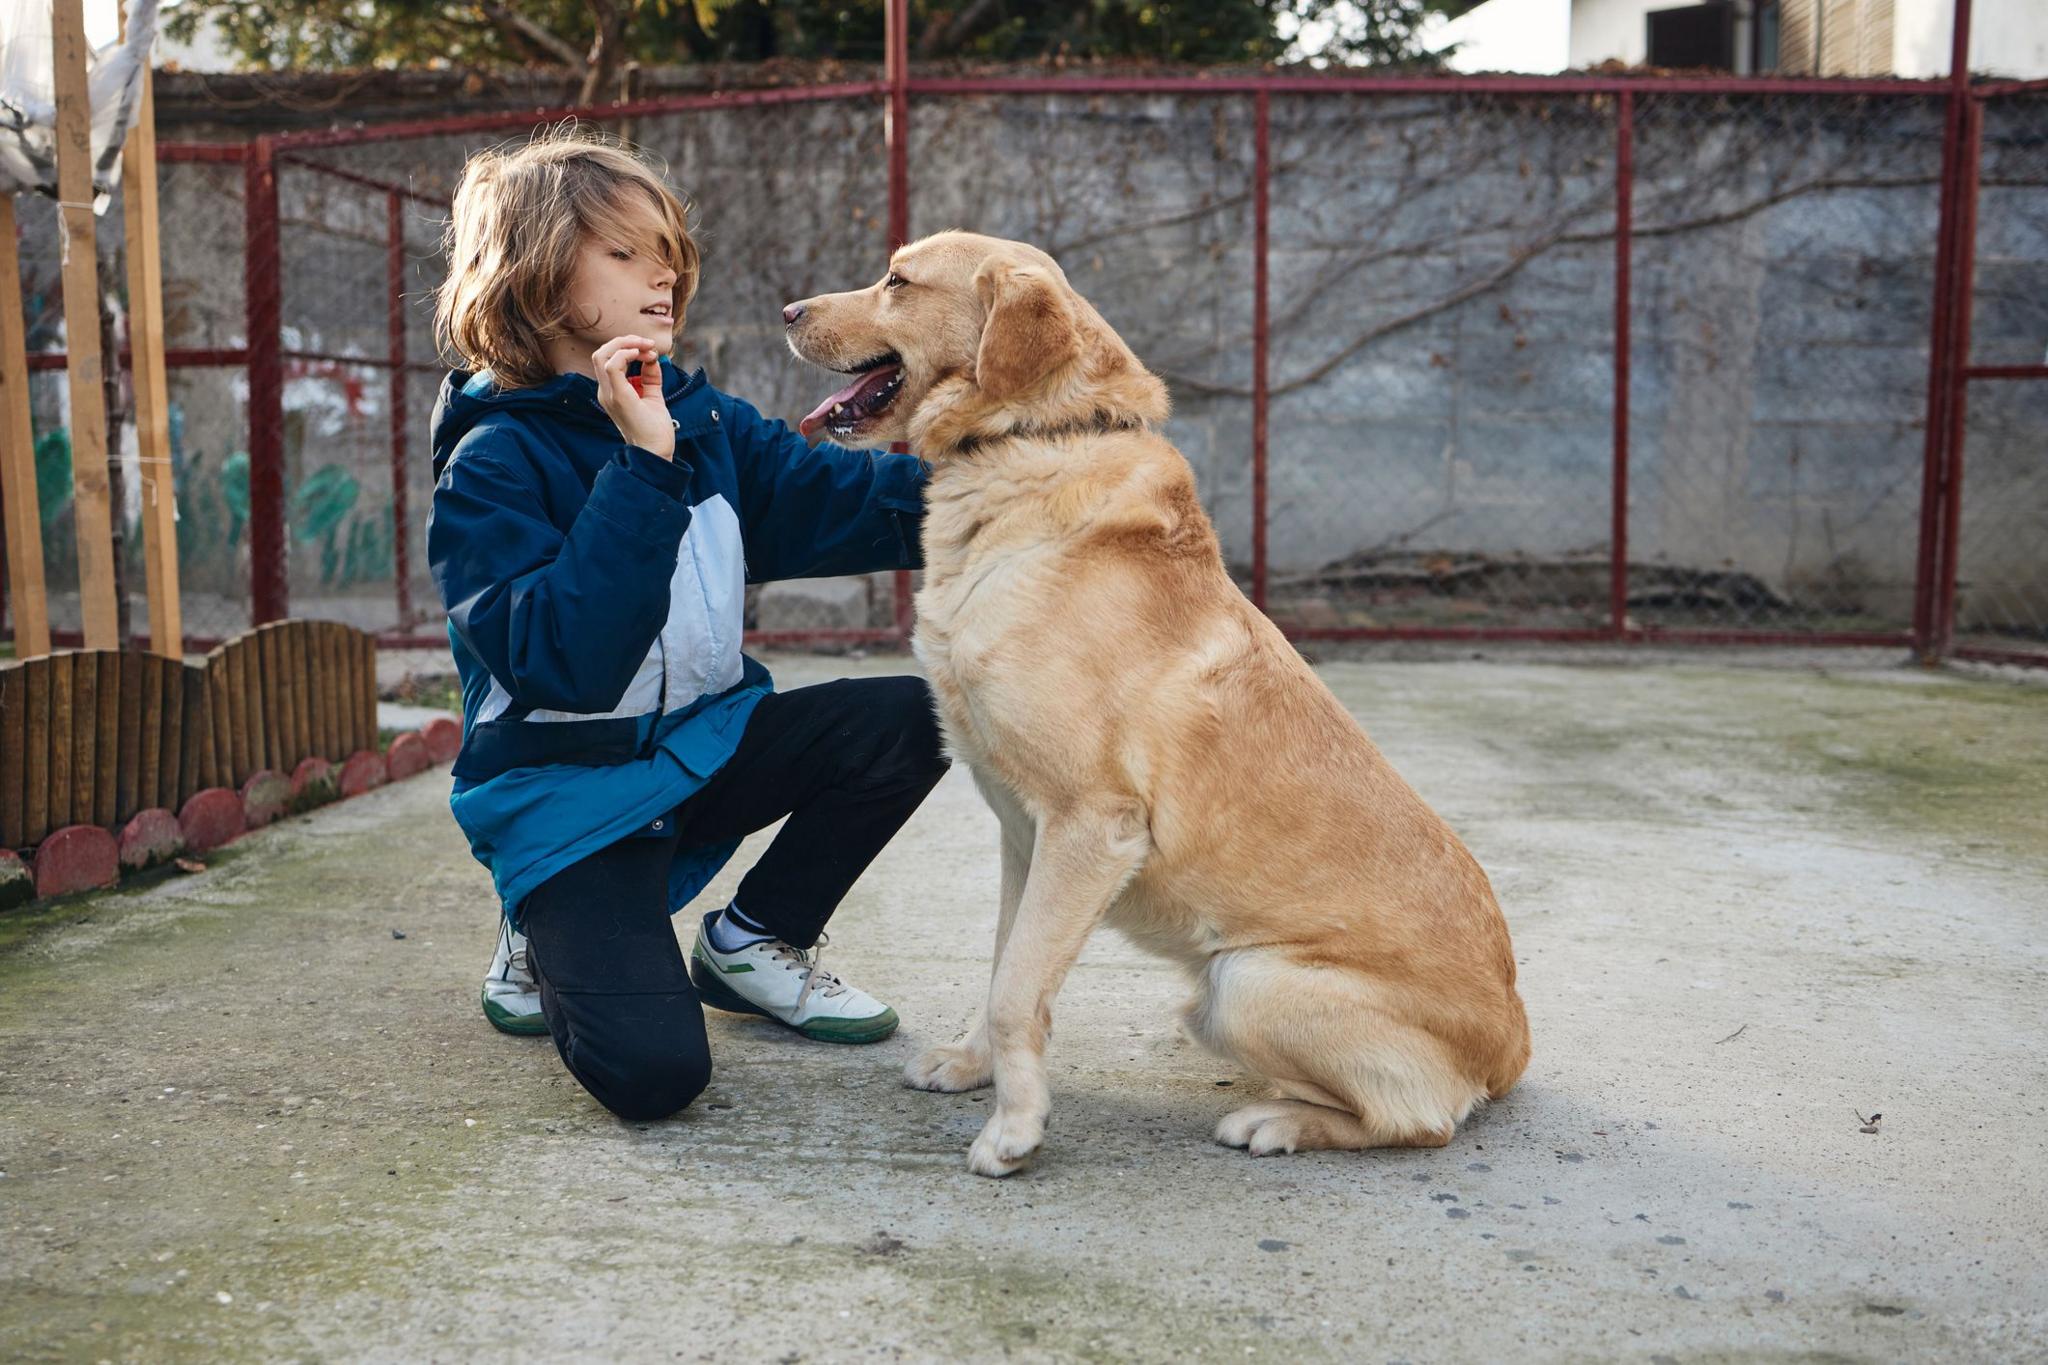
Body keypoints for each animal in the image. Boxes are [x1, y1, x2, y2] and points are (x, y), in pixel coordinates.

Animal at [790, 235, 1531, 1178]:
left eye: (897, 281)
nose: (787, 312)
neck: (1026, 441)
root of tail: (1515, 1042)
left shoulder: (1089, 826)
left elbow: (1017, 988)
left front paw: (1014, 1130)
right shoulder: (1023, 836)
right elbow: (1002, 968)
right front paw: (971, 1069)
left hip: (1242, 983)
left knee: (1421, 1117)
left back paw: (1277, 1119)